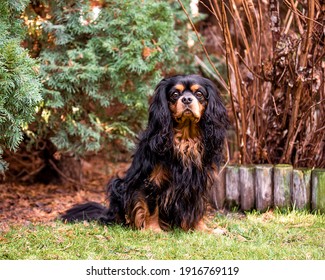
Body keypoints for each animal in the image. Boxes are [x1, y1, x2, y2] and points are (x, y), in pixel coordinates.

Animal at [60, 74, 228, 232]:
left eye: (199, 93)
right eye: (175, 94)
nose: (186, 99)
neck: (186, 138)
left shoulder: (199, 180)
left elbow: (198, 206)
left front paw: (201, 229)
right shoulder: (150, 180)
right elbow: (151, 207)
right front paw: (154, 230)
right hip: (118, 185)